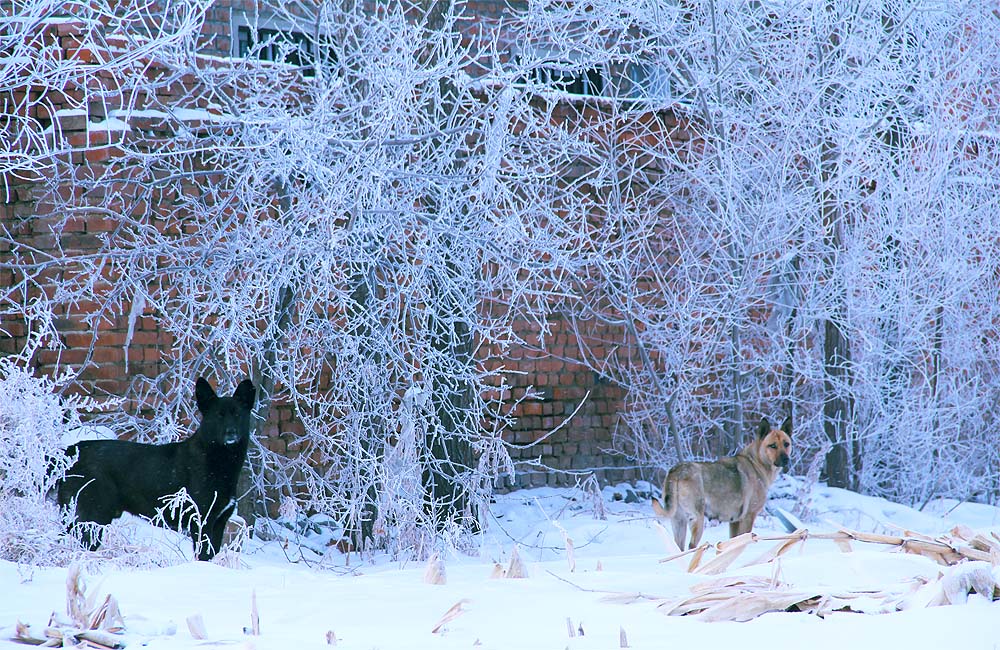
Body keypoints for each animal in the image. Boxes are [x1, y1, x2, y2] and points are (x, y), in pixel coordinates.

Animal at [56, 378, 256, 560]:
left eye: (237, 415)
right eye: (218, 415)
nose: (231, 432)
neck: (220, 463)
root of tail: (71, 450)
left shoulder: (220, 522)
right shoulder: (201, 521)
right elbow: (203, 556)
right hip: (92, 517)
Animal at [652, 418, 792, 548]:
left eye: (786, 444)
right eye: (772, 445)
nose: (786, 459)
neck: (757, 463)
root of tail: (677, 471)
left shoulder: (734, 522)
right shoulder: (748, 517)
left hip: (679, 521)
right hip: (697, 518)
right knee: (692, 546)